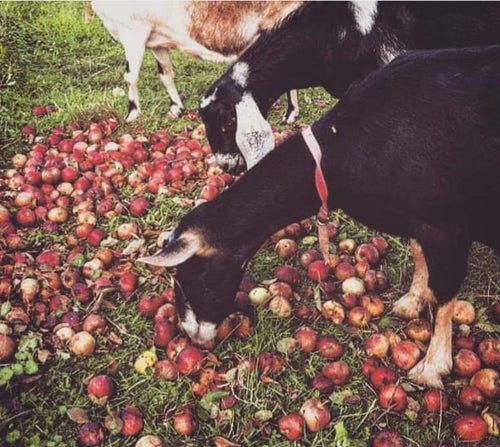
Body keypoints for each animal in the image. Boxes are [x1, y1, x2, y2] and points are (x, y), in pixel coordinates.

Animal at [91, 0, 302, 121]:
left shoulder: (134, 33)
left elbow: (130, 77)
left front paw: (132, 115)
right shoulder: (158, 42)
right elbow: (166, 74)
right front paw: (176, 109)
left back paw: (289, 115)